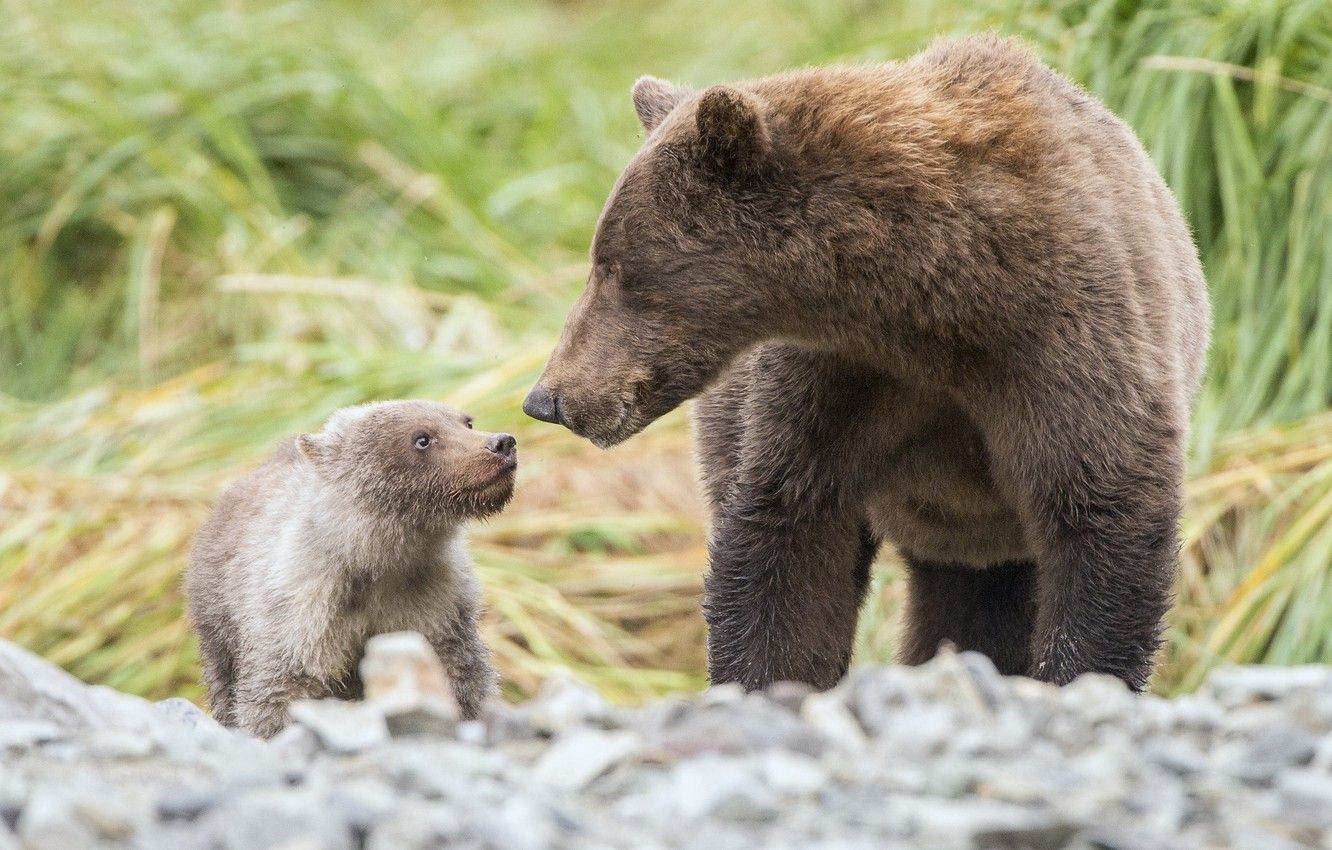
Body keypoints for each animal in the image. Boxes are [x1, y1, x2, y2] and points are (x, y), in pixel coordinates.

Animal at [185, 400, 516, 737]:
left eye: (467, 422)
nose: (502, 443)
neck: (375, 560)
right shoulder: (302, 611)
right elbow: (279, 690)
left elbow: (459, 675)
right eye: (422, 438)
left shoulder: (436, 602)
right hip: (219, 624)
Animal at [522, 35, 1210, 693]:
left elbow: (1101, 517)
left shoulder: (1070, 341)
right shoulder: (841, 382)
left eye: (614, 267)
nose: (545, 398)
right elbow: (787, 540)